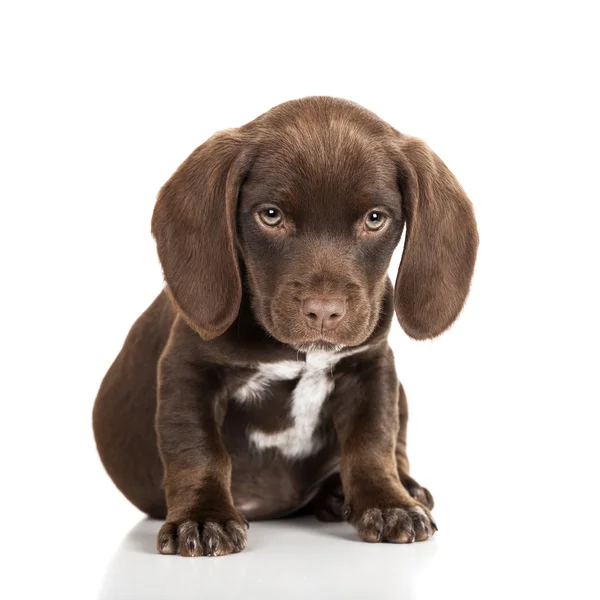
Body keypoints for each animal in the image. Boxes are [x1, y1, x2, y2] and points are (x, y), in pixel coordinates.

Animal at [94, 95, 478, 556]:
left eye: (374, 218)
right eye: (271, 216)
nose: (324, 311)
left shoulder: (371, 366)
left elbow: (374, 442)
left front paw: (388, 504)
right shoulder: (187, 369)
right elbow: (197, 448)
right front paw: (203, 517)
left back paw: (390, 489)